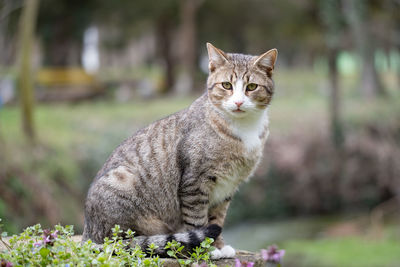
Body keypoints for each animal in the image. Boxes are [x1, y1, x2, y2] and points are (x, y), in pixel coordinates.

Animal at [83, 43, 278, 260]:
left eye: (251, 87)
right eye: (227, 85)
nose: (238, 103)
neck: (243, 127)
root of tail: (88, 234)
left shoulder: (227, 187)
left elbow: (217, 219)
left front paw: (219, 246)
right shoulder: (194, 183)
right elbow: (198, 220)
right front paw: (207, 249)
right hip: (122, 185)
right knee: (125, 242)